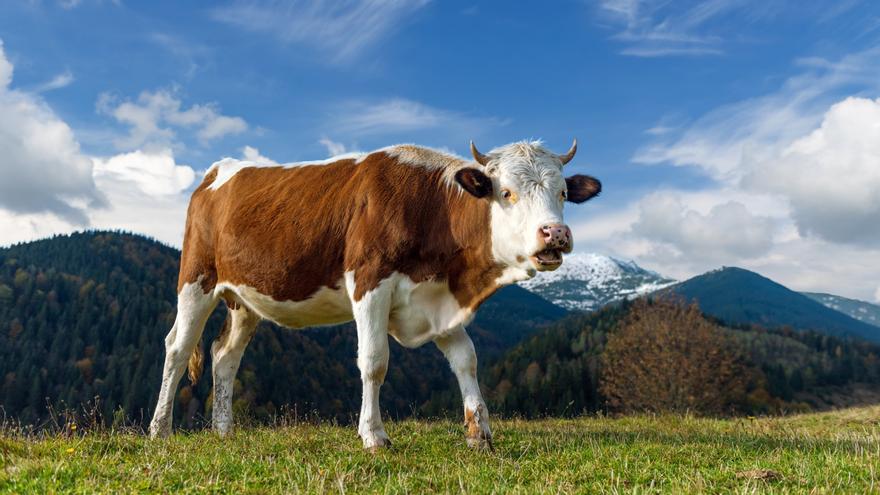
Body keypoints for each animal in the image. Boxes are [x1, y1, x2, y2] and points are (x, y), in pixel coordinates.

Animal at [148, 139, 601, 450]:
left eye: (562, 194)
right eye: (506, 192)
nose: (555, 234)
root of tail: (220, 170)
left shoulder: (437, 299)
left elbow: (466, 360)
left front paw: (480, 434)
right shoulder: (369, 282)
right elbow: (374, 362)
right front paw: (374, 436)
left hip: (245, 298)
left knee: (225, 355)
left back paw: (223, 431)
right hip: (197, 278)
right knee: (177, 347)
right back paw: (160, 429)